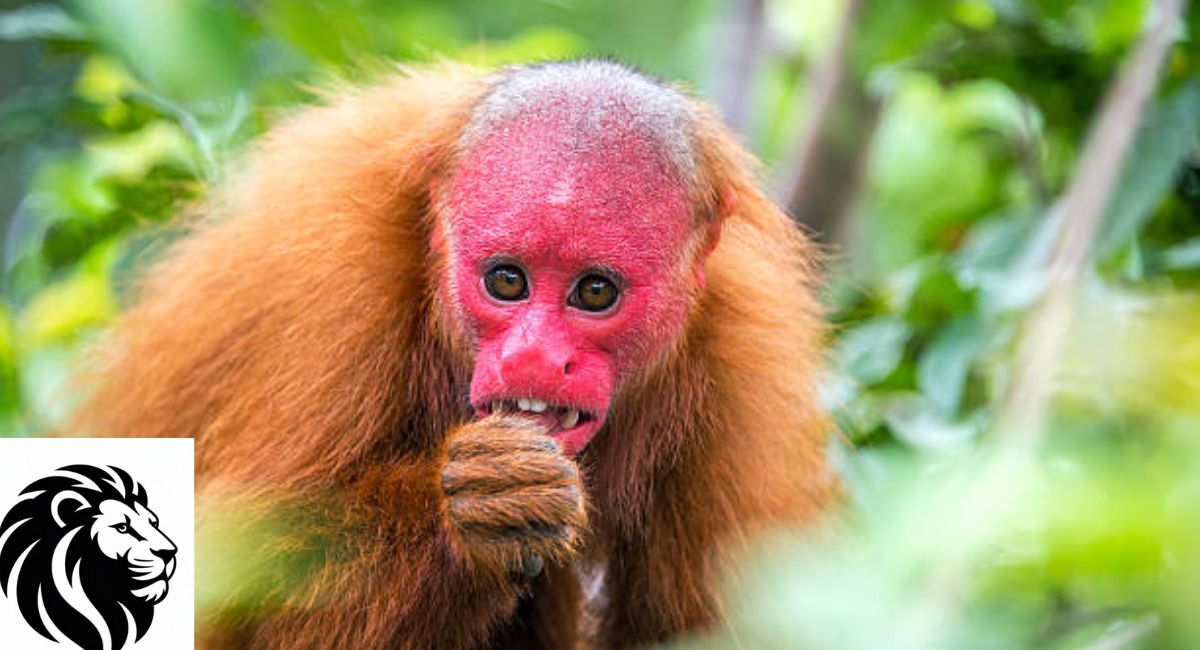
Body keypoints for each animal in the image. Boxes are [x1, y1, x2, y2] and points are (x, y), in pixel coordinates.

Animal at [74, 60, 832, 649]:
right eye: (507, 280)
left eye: (595, 291)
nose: (534, 358)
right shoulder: (328, 298)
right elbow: (237, 600)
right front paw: (472, 510)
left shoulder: (740, 369)